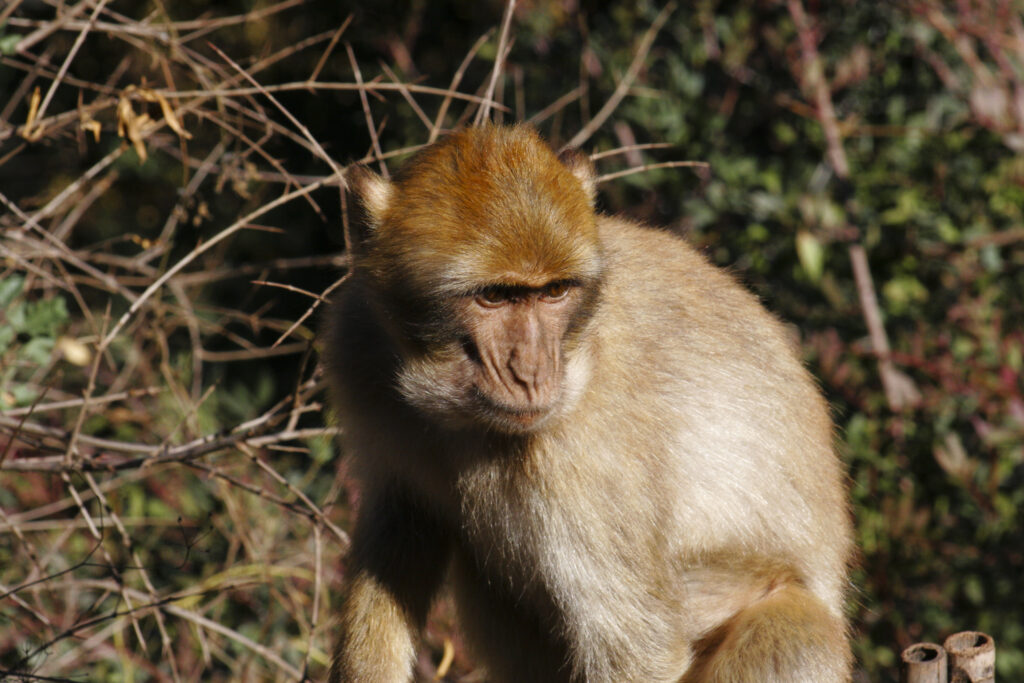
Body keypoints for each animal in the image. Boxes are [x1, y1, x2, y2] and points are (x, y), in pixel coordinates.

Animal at [323, 124, 853, 682]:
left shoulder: (583, 452)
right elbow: (402, 527)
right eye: (494, 296)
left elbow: (637, 650)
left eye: (555, 292)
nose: (532, 373)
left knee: (797, 633)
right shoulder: (359, 349)